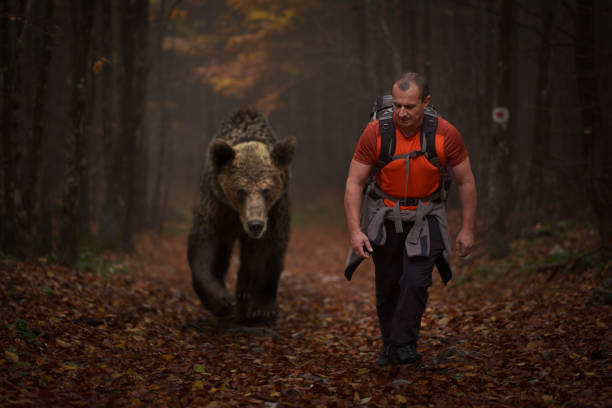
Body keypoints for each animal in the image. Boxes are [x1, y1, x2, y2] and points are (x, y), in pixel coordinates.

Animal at [189, 109, 296, 322]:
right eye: (241, 190)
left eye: (266, 189)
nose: (255, 224)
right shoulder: (217, 204)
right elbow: (206, 244)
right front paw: (220, 301)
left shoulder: (275, 211)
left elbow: (270, 250)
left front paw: (263, 308)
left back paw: (245, 291)